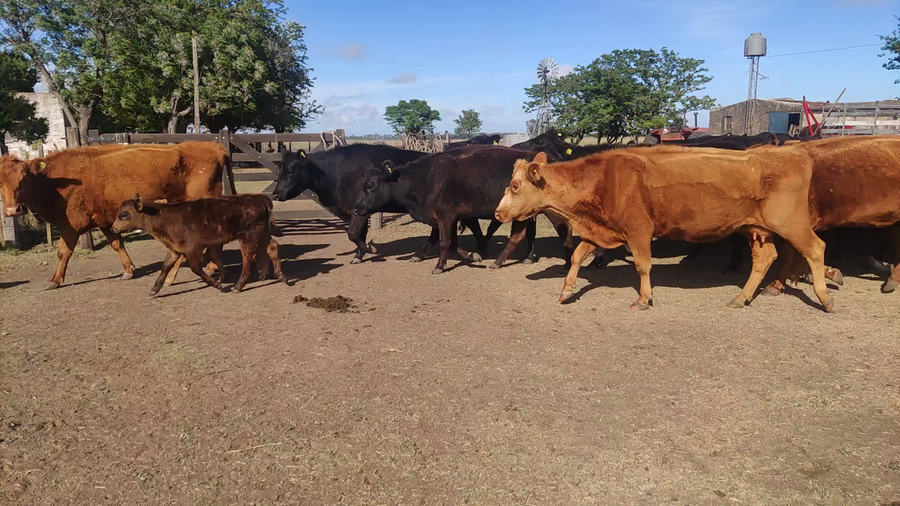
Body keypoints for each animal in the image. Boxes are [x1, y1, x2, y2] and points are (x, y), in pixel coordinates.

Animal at [0, 142, 233, 289]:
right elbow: (117, 243)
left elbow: (63, 252)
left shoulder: (70, 225)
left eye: (23, 179)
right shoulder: (104, 220)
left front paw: (55, 280)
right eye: (0, 183)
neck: (55, 181)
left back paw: (208, 268)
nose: (12, 210)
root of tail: (214, 146)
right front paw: (128, 270)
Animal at [110, 194, 286, 295]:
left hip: (248, 236)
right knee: (272, 247)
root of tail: (258, 199)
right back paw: (280, 275)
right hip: (261, 233)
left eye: (124, 215)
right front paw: (155, 289)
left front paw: (218, 285)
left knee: (248, 259)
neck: (166, 217)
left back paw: (238, 286)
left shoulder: (193, 248)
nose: (113, 228)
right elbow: (165, 266)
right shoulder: (175, 248)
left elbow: (196, 268)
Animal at [272, 144, 492, 264]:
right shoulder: (356, 209)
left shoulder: (358, 210)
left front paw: (370, 250)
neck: (337, 173)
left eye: (292, 170)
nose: (276, 193)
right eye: (280, 169)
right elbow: (359, 234)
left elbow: (353, 233)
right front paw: (359, 255)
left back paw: (479, 250)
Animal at [354, 146, 575, 274]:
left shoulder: (445, 215)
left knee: (564, 231)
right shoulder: (446, 217)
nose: (356, 209)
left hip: (552, 212)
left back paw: (566, 262)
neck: (426, 178)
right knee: (521, 235)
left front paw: (439, 266)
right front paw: (471, 255)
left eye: (371, 185)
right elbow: (448, 242)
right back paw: (505, 261)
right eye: (363, 184)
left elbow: (445, 242)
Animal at [494, 147, 834, 312]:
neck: (604, 178)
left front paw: (644, 299)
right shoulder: (601, 229)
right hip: (756, 228)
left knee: (816, 249)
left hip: (791, 224)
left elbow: (643, 266)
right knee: (764, 258)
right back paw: (741, 298)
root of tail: (793, 154)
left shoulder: (639, 232)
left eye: (515, 185)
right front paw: (566, 290)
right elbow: (577, 256)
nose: (498, 212)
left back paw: (825, 298)